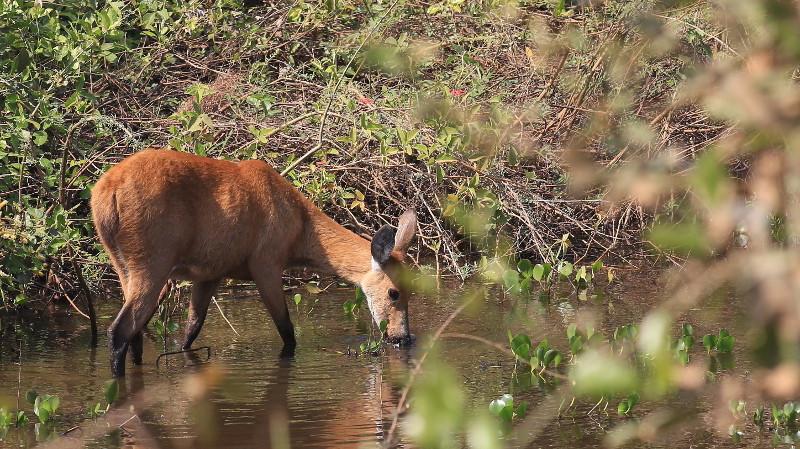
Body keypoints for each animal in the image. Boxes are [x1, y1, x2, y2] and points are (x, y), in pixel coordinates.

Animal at [92, 149, 418, 376]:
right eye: (393, 293)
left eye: (411, 292)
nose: (402, 338)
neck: (300, 232)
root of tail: (106, 194)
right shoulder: (267, 264)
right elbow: (287, 332)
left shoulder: (209, 272)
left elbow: (190, 331)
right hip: (152, 260)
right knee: (119, 332)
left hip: (123, 265)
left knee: (135, 333)